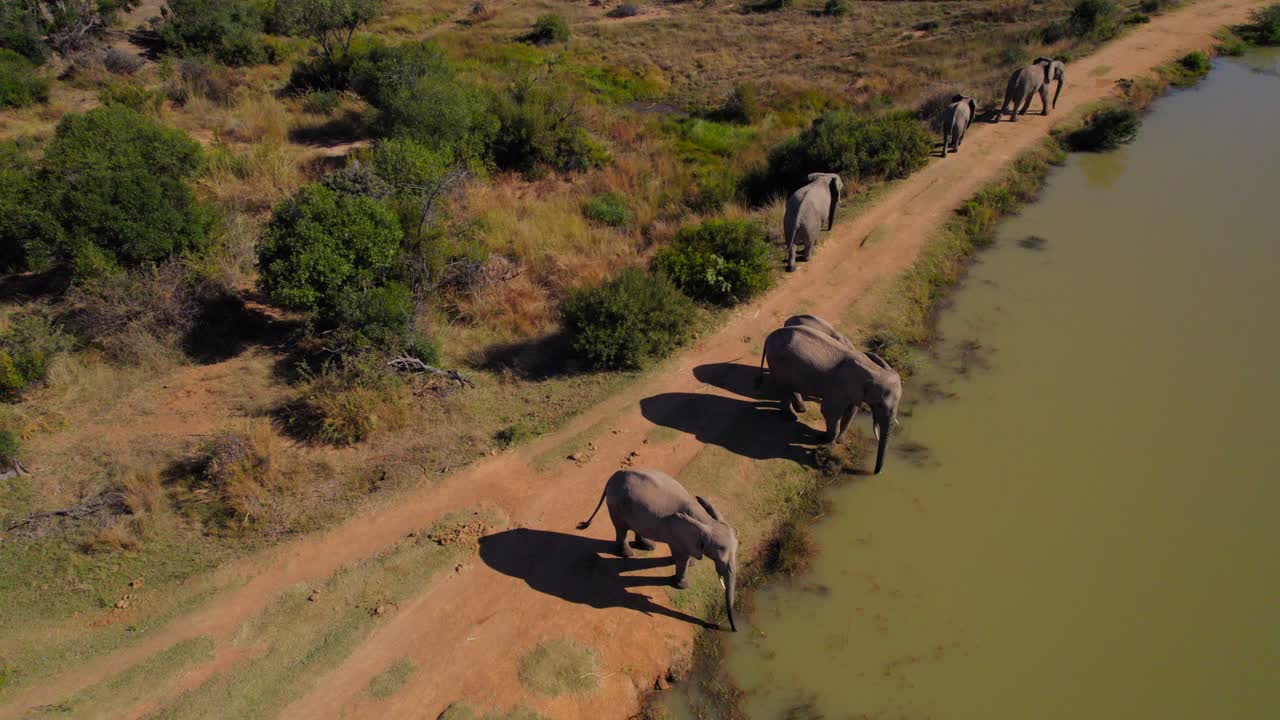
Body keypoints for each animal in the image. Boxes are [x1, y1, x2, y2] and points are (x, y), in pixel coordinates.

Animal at [578, 468, 739, 631]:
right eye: (720, 559)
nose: (734, 629)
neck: (706, 522)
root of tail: (611, 478)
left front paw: (692, 564)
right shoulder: (678, 533)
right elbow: (682, 556)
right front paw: (682, 585)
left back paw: (648, 546)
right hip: (617, 506)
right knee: (621, 528)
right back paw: (628, 554)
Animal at [756, 325, 902, 474]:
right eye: (879, 404)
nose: (875, 473)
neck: (873, 368)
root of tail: (770, 336)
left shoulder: (855, 391)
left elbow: (851, 413)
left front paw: (839, 441)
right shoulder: (839, 386)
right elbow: (831, 413)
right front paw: (828, 445)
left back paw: (800, 409)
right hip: (777, 362)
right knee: (784, 387)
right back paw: (791, 417)